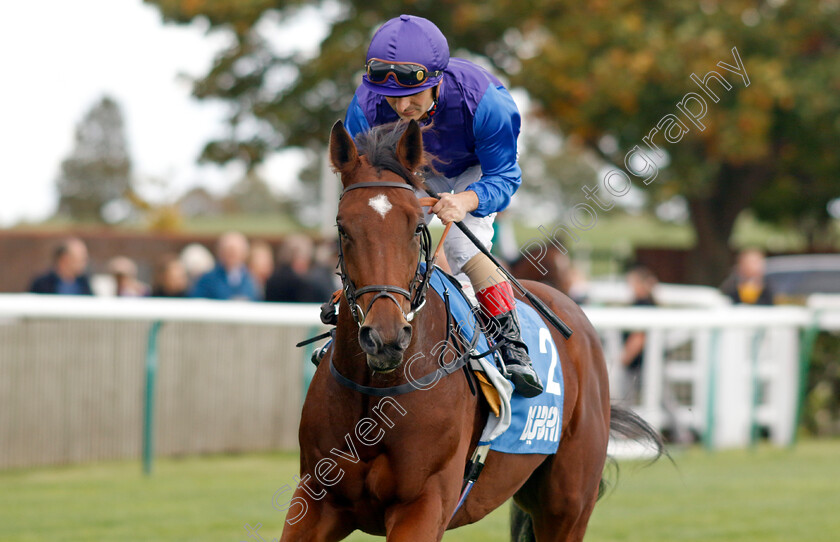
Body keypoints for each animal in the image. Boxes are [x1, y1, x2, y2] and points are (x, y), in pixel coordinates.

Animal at [280, 121, 664, 542]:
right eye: (343, 227)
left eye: (416, 225)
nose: (385, 338)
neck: (377, 391)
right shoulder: (316, 500)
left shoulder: (424, 504)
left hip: (567, 505)